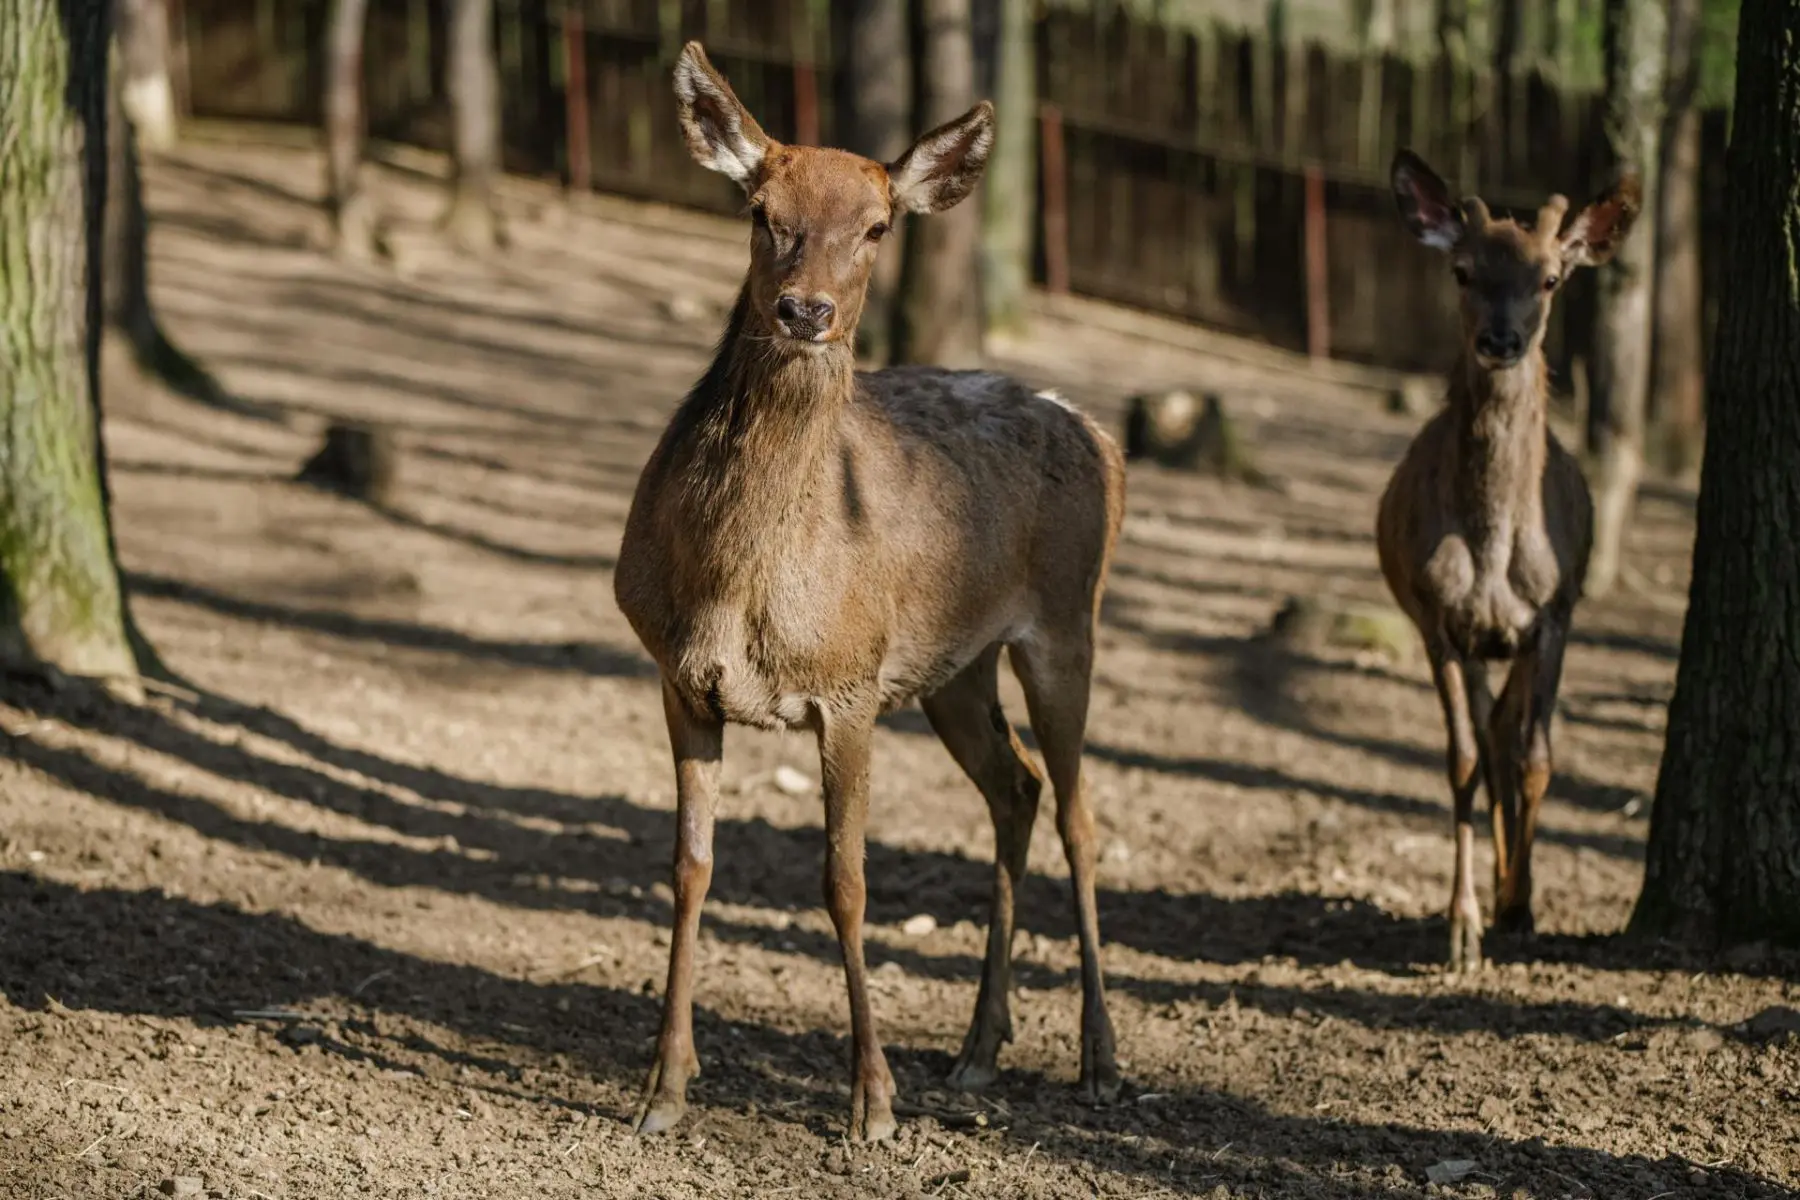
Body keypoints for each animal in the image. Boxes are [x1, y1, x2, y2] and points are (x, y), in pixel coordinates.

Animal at [612, 42, 1127, 1142]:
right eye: (761, 207)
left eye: (880, 225)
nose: (804, 309)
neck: (735, 586)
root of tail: (1098, 430)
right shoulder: (680, 680)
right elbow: (688, 866)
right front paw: (664, 1088)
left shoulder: (846, 686)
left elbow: (846, 882)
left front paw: (873, 1103)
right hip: (953, 669)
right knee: (1017, 788)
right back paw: (978, 1049)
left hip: (1067, 623)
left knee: (1080, 814)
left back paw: (1099, 1061)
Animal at [1377, 150, 1640, 972]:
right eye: (1462, 271)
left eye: (1550, 278)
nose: (1501, 340)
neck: (1493, 553)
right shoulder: (1439, 622)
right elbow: (1462, 759)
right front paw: (1462, 928)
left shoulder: (1553, 615)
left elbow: (1537, 757)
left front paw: (1522, 905)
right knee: (1487, 738)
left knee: (1508, 735)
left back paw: (1510, 892)